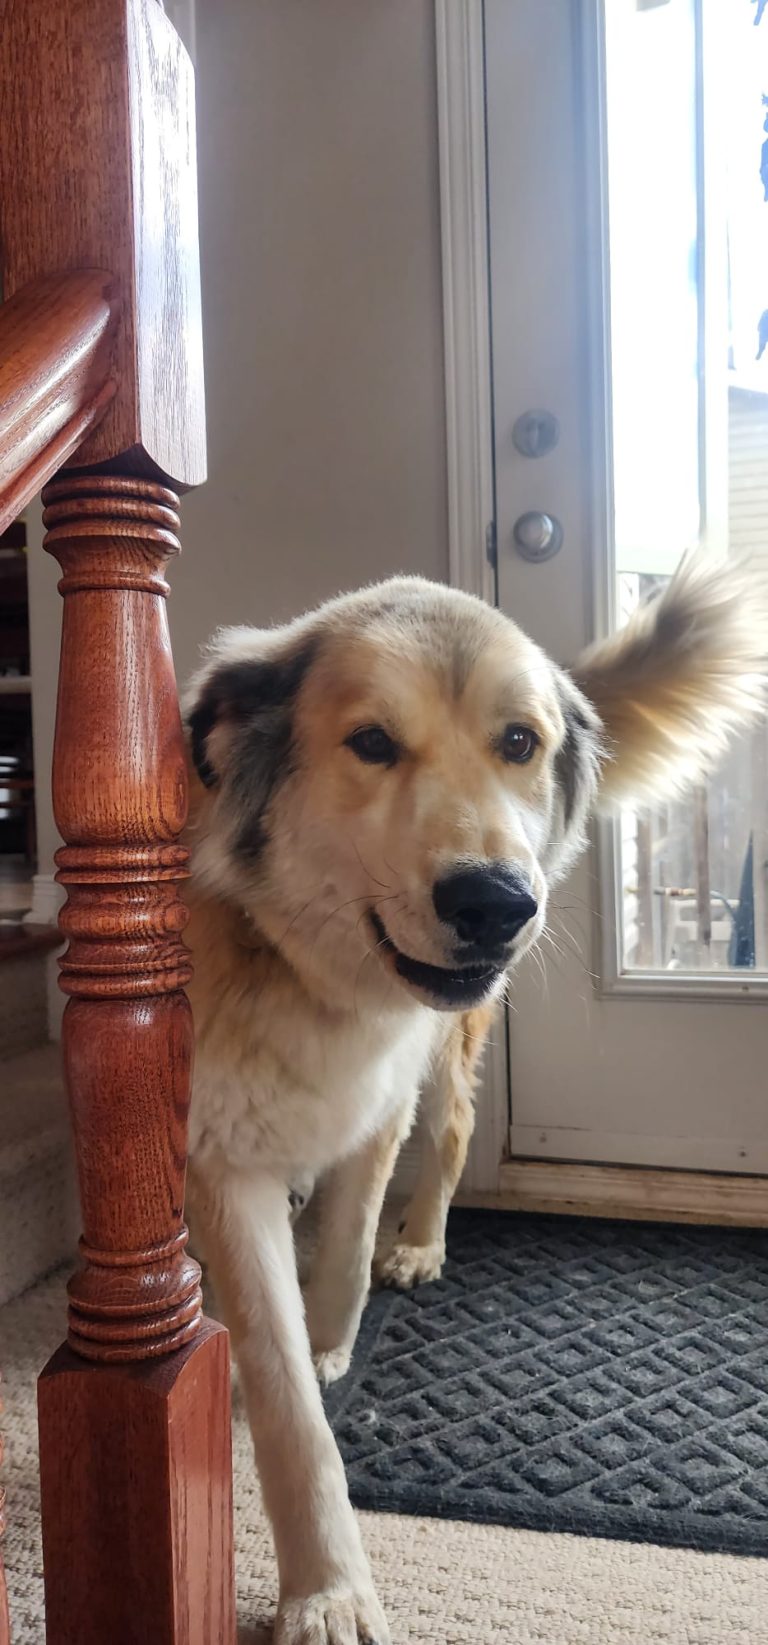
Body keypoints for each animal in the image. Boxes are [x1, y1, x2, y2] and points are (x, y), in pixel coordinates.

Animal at [182, 560, 766, 1645]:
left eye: (519, 743)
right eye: (372, 742)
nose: (496, 904)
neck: (310, 971)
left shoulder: (379, 1101)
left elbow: (340, 1262)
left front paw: (333, 1342)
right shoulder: (220, 1155)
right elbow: (283, 1394)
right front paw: (328, 1584)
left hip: (452, 1053)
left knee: (450, 1136)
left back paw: (417, 1241)